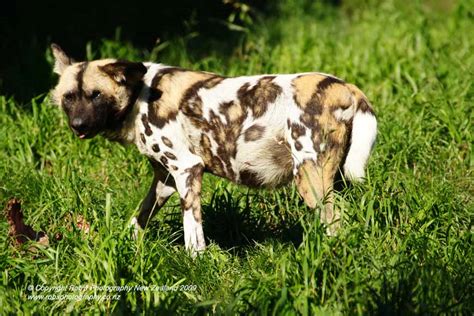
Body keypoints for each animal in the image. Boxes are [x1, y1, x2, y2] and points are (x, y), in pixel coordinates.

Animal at [51, 43, 378, 253]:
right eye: (69, 97)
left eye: (96, 95)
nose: (78, 125)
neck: (138, 97)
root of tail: (345, 86)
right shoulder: (165, 179)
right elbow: (138, 218)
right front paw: (119, 242)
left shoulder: (187, 170)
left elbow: (192, 234)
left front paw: (195, 264)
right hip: (331, 178)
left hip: (310, 180)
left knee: (335, 223)